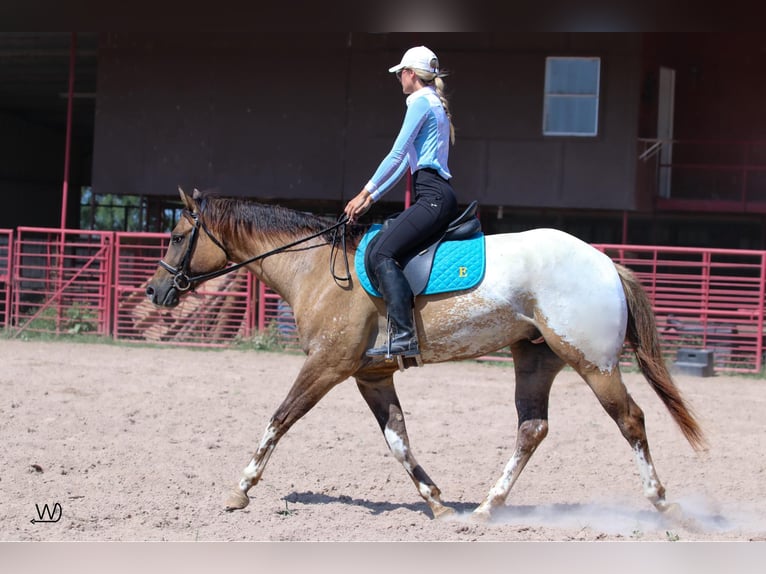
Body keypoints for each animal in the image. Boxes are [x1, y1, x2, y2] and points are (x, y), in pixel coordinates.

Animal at [146, 189, 708, 520]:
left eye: (176, 235)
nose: (155, 291)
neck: (316, 269)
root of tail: (607, 263)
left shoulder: (326, 366)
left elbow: (279, 419)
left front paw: (240, 488)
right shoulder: (370, 376)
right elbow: (398, 440)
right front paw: (436, 502)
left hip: (593, 362)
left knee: (630, 419)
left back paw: (660, 501)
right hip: (535, 360)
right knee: (532, 429)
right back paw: (486, 507)